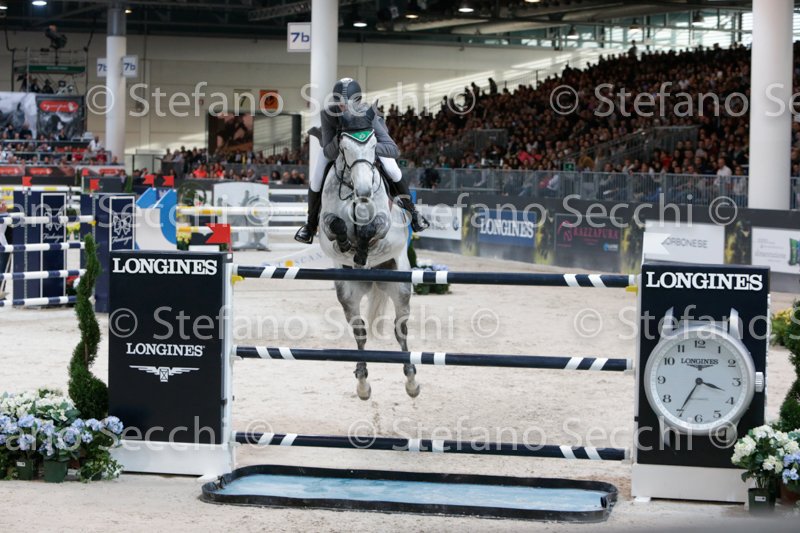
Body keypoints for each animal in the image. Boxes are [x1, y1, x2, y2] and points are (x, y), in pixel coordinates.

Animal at [316, 116, 419, 401]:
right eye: (344, 147)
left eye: (374, 146)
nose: (363, 190)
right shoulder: (326, 224)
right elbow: (337, 225)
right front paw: (348, 244)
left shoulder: (384, 223)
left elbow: (371, 228)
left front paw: (361, 247)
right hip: (348, 293)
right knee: (360, 332)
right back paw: (362, 383)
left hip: (401, 286)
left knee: (400, 329)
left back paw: (411, 381)